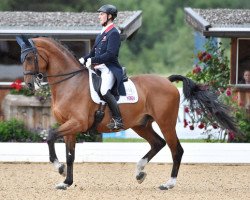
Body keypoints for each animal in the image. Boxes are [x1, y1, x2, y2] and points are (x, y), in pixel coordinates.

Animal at [16, 36, 242, 191]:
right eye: (21, 58)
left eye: (30, 57)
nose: (29, 84)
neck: (69, 83)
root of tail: (167, 81)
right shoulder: (70, 127)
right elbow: (70, 155)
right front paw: (66, 181)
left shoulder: (77, 123)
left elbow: (50, 136)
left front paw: (59, 168)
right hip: (141, 124)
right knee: (157, 143)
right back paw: (140, 171)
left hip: (165, 122)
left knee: (176, 149)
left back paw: (168, 184)